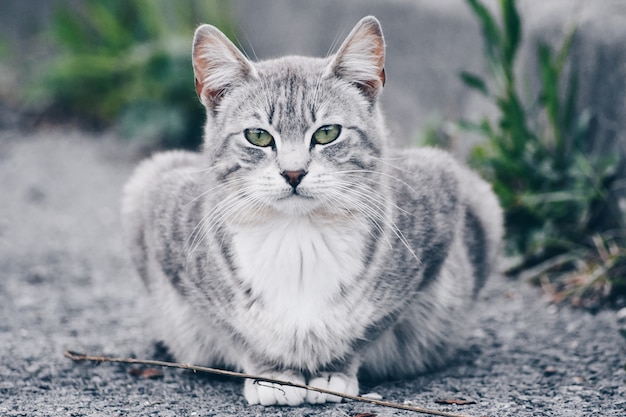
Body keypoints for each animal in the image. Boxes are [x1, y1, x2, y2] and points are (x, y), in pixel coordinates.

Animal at [120, 16, 502, 406]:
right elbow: (234, 329)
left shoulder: (441, 198)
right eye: (258, 136)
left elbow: (367, 326)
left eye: (327, 133)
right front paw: (272, 374)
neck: (297, 236)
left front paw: (333, 370)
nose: (293, 173)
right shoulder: (159, 210)